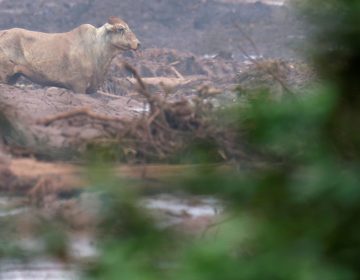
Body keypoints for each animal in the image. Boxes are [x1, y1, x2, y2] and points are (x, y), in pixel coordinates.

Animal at [0, 17, 140, 94]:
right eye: (121, 29)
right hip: (4, 75)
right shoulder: (79, 85)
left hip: (13, 77)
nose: (138, 43)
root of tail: (4, 32)